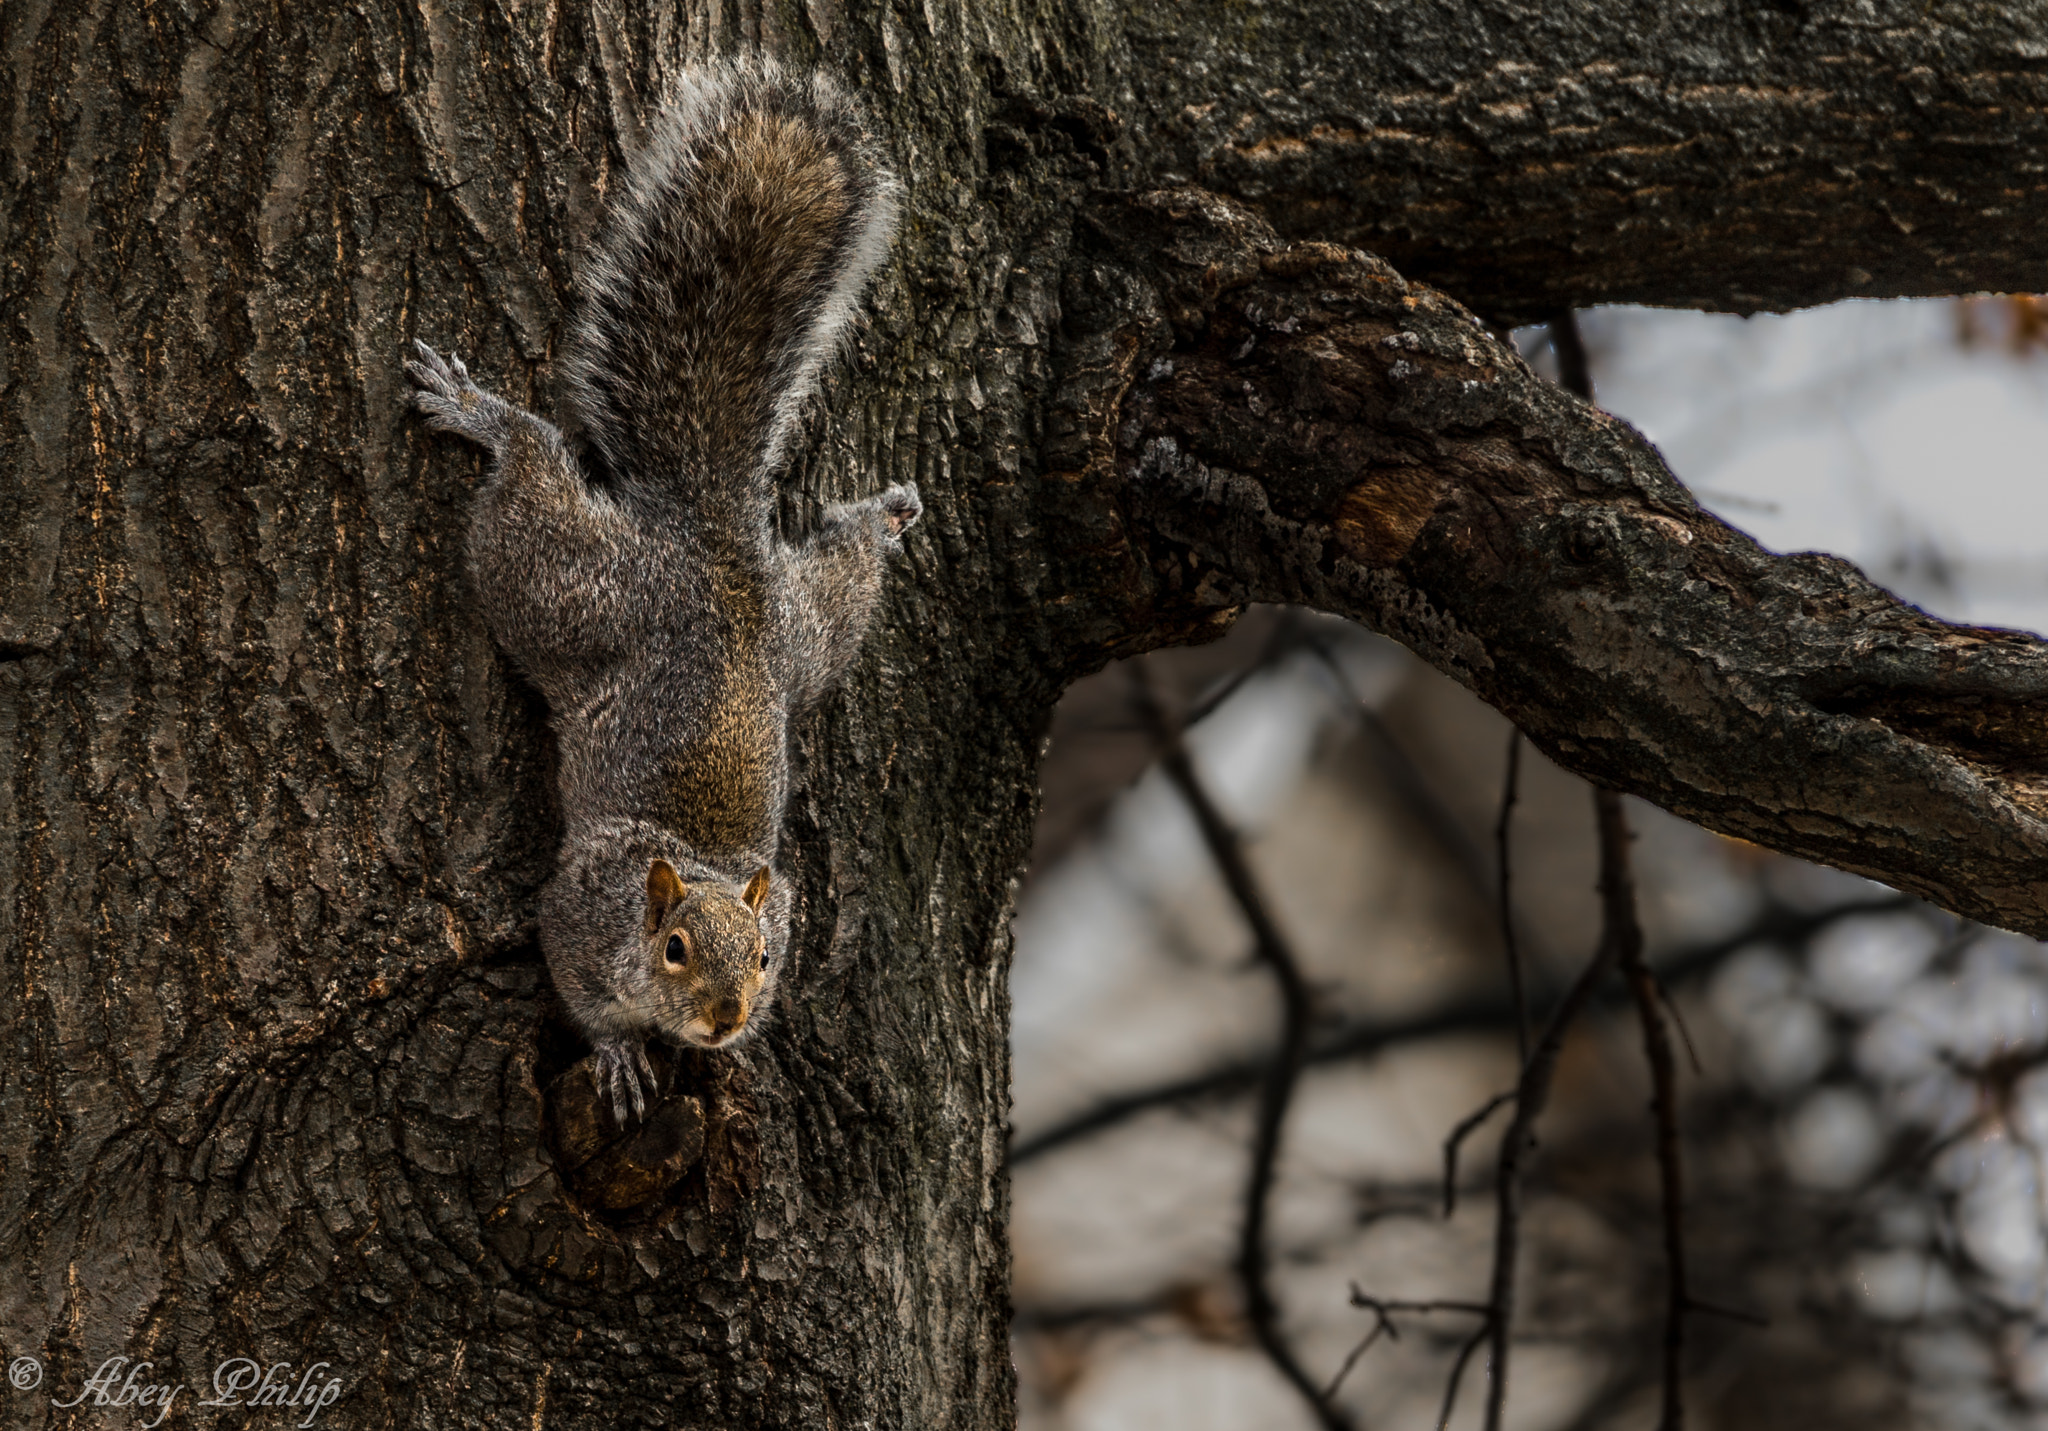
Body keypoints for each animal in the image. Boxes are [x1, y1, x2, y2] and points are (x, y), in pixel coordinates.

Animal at [405, 62, 920, 1124]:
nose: (729, 1017)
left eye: (766, 959)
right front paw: (617, 1056)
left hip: (806, 634)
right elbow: (577, 989)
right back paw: (477, 412)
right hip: (564, 587)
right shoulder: (574, 914)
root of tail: (711, 539)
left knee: (843, 575)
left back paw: (882, 520)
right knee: (529, 466)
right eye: (675, 948)